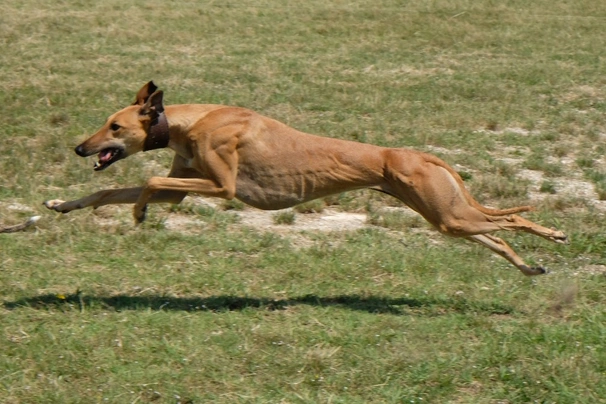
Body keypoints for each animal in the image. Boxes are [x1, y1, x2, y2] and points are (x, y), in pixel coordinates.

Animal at [44, 83, 568, 278]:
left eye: (115, 126)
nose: (80, 148)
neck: (192, 121)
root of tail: (417, 153)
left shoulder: (223, 187)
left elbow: (151, 183)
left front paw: (139, 212)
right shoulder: (187, 183)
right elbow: (107, 190)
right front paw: (57, 207)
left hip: (448, 214)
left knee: (510, 223)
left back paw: (552, 233)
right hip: (447, 216)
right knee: (497, 235)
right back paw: (529, 267)